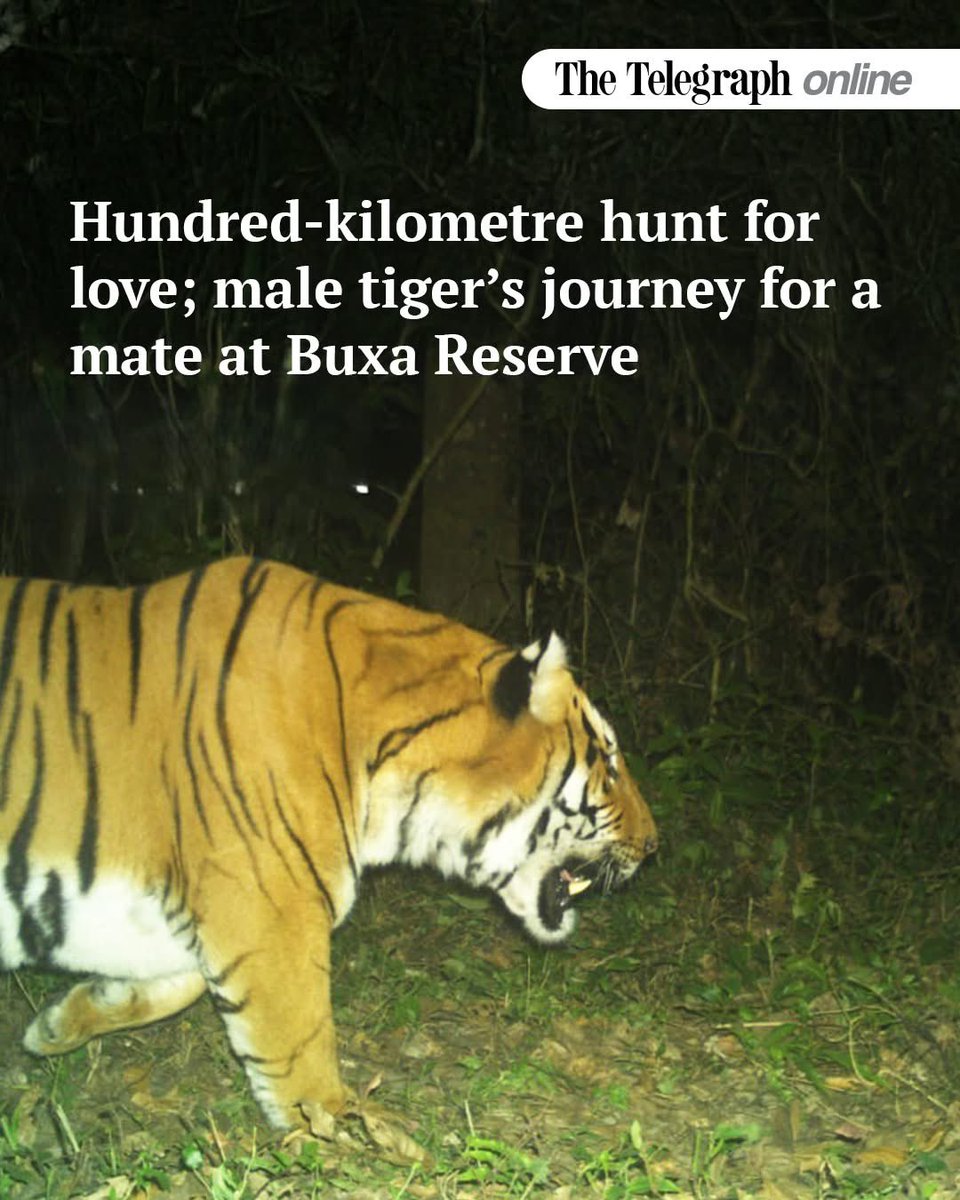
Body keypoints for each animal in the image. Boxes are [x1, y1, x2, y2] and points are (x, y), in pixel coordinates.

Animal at [0, 556, 657, 1133]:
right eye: (609, 763)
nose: (654, 845)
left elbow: (177, 980)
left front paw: (60, 1022)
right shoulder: (271, 910)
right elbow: (301, 1046)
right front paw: (351, 1133)